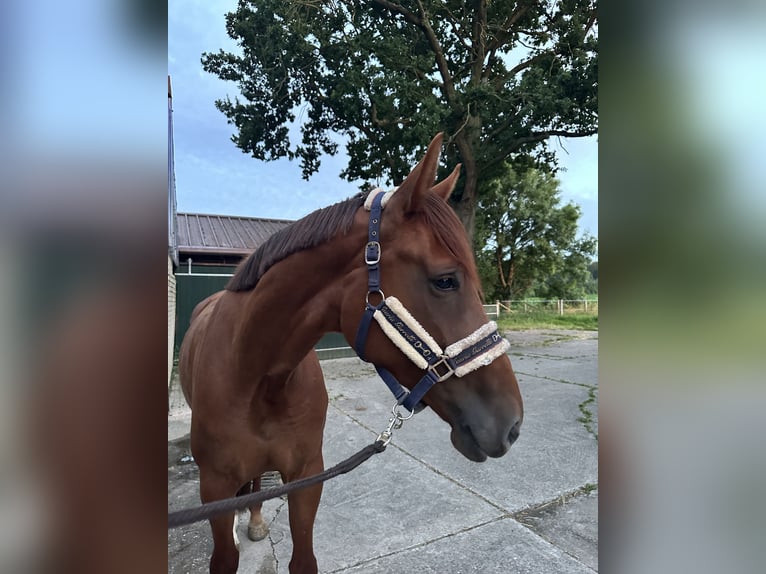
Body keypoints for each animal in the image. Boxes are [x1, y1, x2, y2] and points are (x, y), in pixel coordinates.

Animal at [179, 133, 524, 572]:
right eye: (446, 280)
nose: (512, 425)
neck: (258, 379)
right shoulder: (214, 488)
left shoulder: (308, 476)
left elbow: (303, 559)